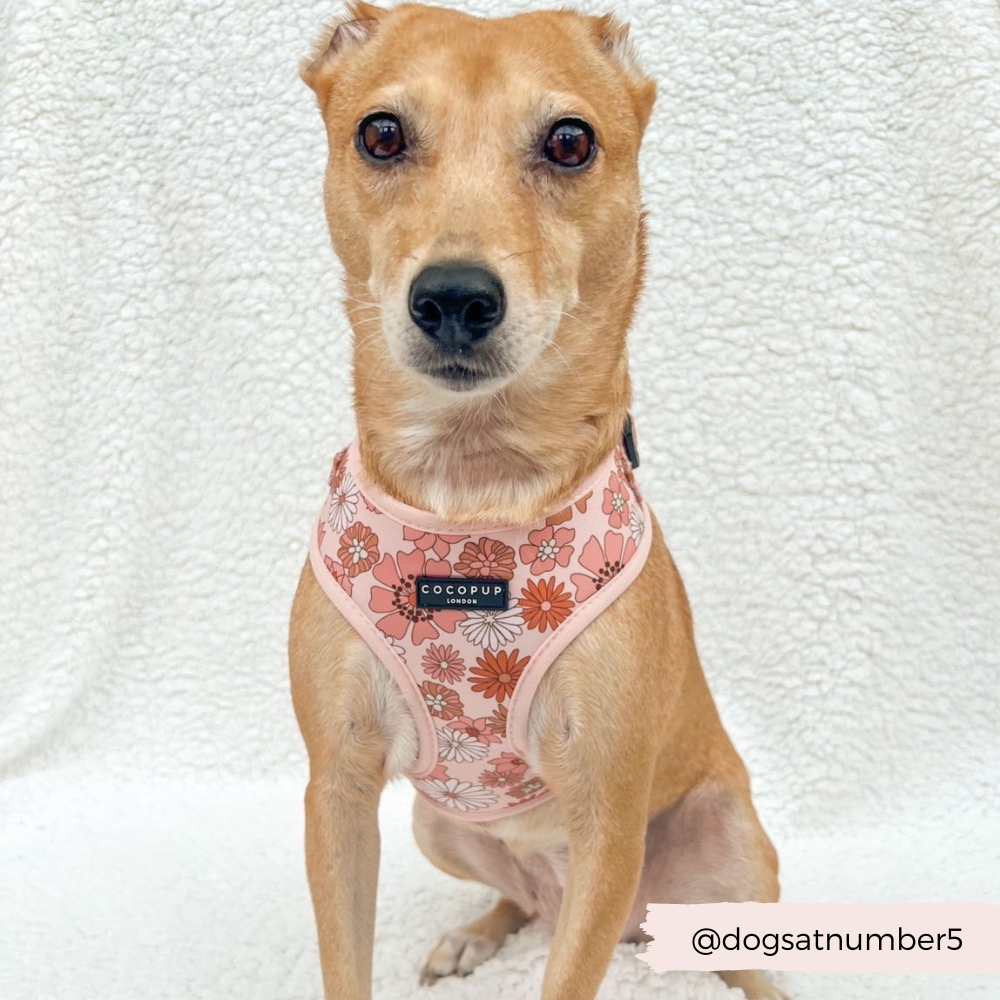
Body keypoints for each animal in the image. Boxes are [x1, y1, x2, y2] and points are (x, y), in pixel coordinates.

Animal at [286, 3, 784, 996]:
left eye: (569, 141)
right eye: (381, 133)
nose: (454, 297)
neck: (474, 488)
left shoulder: (608, 811)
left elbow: (567, 976)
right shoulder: (338, 794)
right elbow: (344, 960)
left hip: (723, 844)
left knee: (732, 947)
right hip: (438, 827)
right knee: (518, 898)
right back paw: (475, 935)